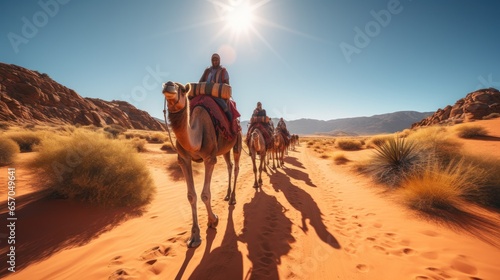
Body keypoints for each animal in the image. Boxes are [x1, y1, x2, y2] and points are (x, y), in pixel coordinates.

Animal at [161, 80, 241, 247]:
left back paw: (232, 198)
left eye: (182, 89)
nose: (168, 85)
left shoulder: (209, 158)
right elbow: (191, 196)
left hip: (237, 139)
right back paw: (227, 195)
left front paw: (213, 220)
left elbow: (205, 194)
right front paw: (194, 237)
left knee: (236, 167)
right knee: (229, 166)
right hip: (224, 149)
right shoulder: (183, 159)